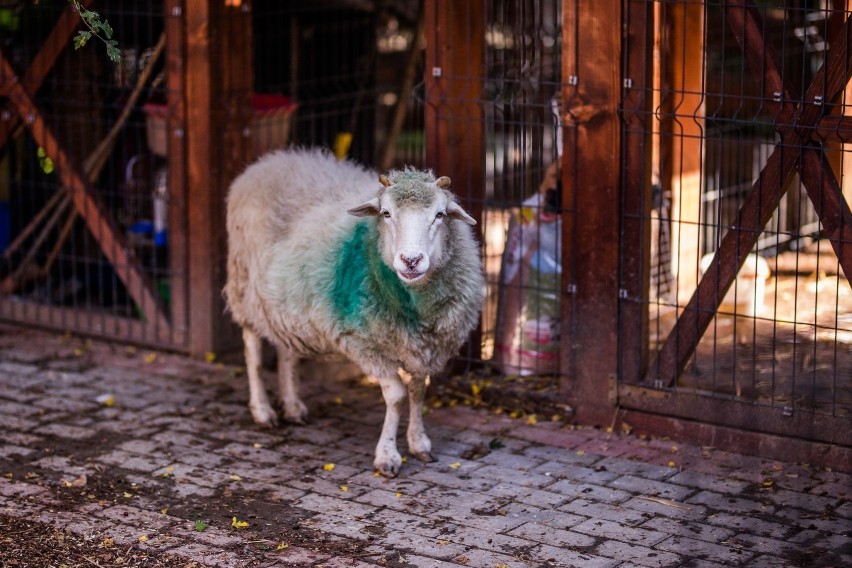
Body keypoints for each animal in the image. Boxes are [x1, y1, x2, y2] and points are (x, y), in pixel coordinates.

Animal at [223, 146, 482, 474]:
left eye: (439, 215)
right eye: (386, 213)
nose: (411, 261)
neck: (414, 305)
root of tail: (270, 161)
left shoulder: (425, 347)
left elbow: (417, 391)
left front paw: (419, 443)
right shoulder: (364, 344)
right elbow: (397, 396)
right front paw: (387, 455)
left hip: (287, 302)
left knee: (286, 352)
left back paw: (292, 407)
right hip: (246, 291)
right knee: (254, 355)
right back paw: (262, 411)